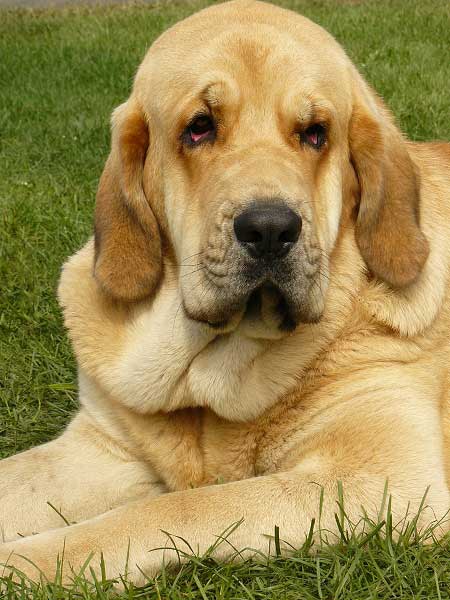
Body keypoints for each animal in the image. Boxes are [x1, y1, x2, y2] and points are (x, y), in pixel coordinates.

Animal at [0, 0, 450, 584]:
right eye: (199, 128)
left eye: (316, 133)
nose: (270, 229)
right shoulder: (101, 451)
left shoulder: (385, 481)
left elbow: (174, 507)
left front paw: (22, 561)